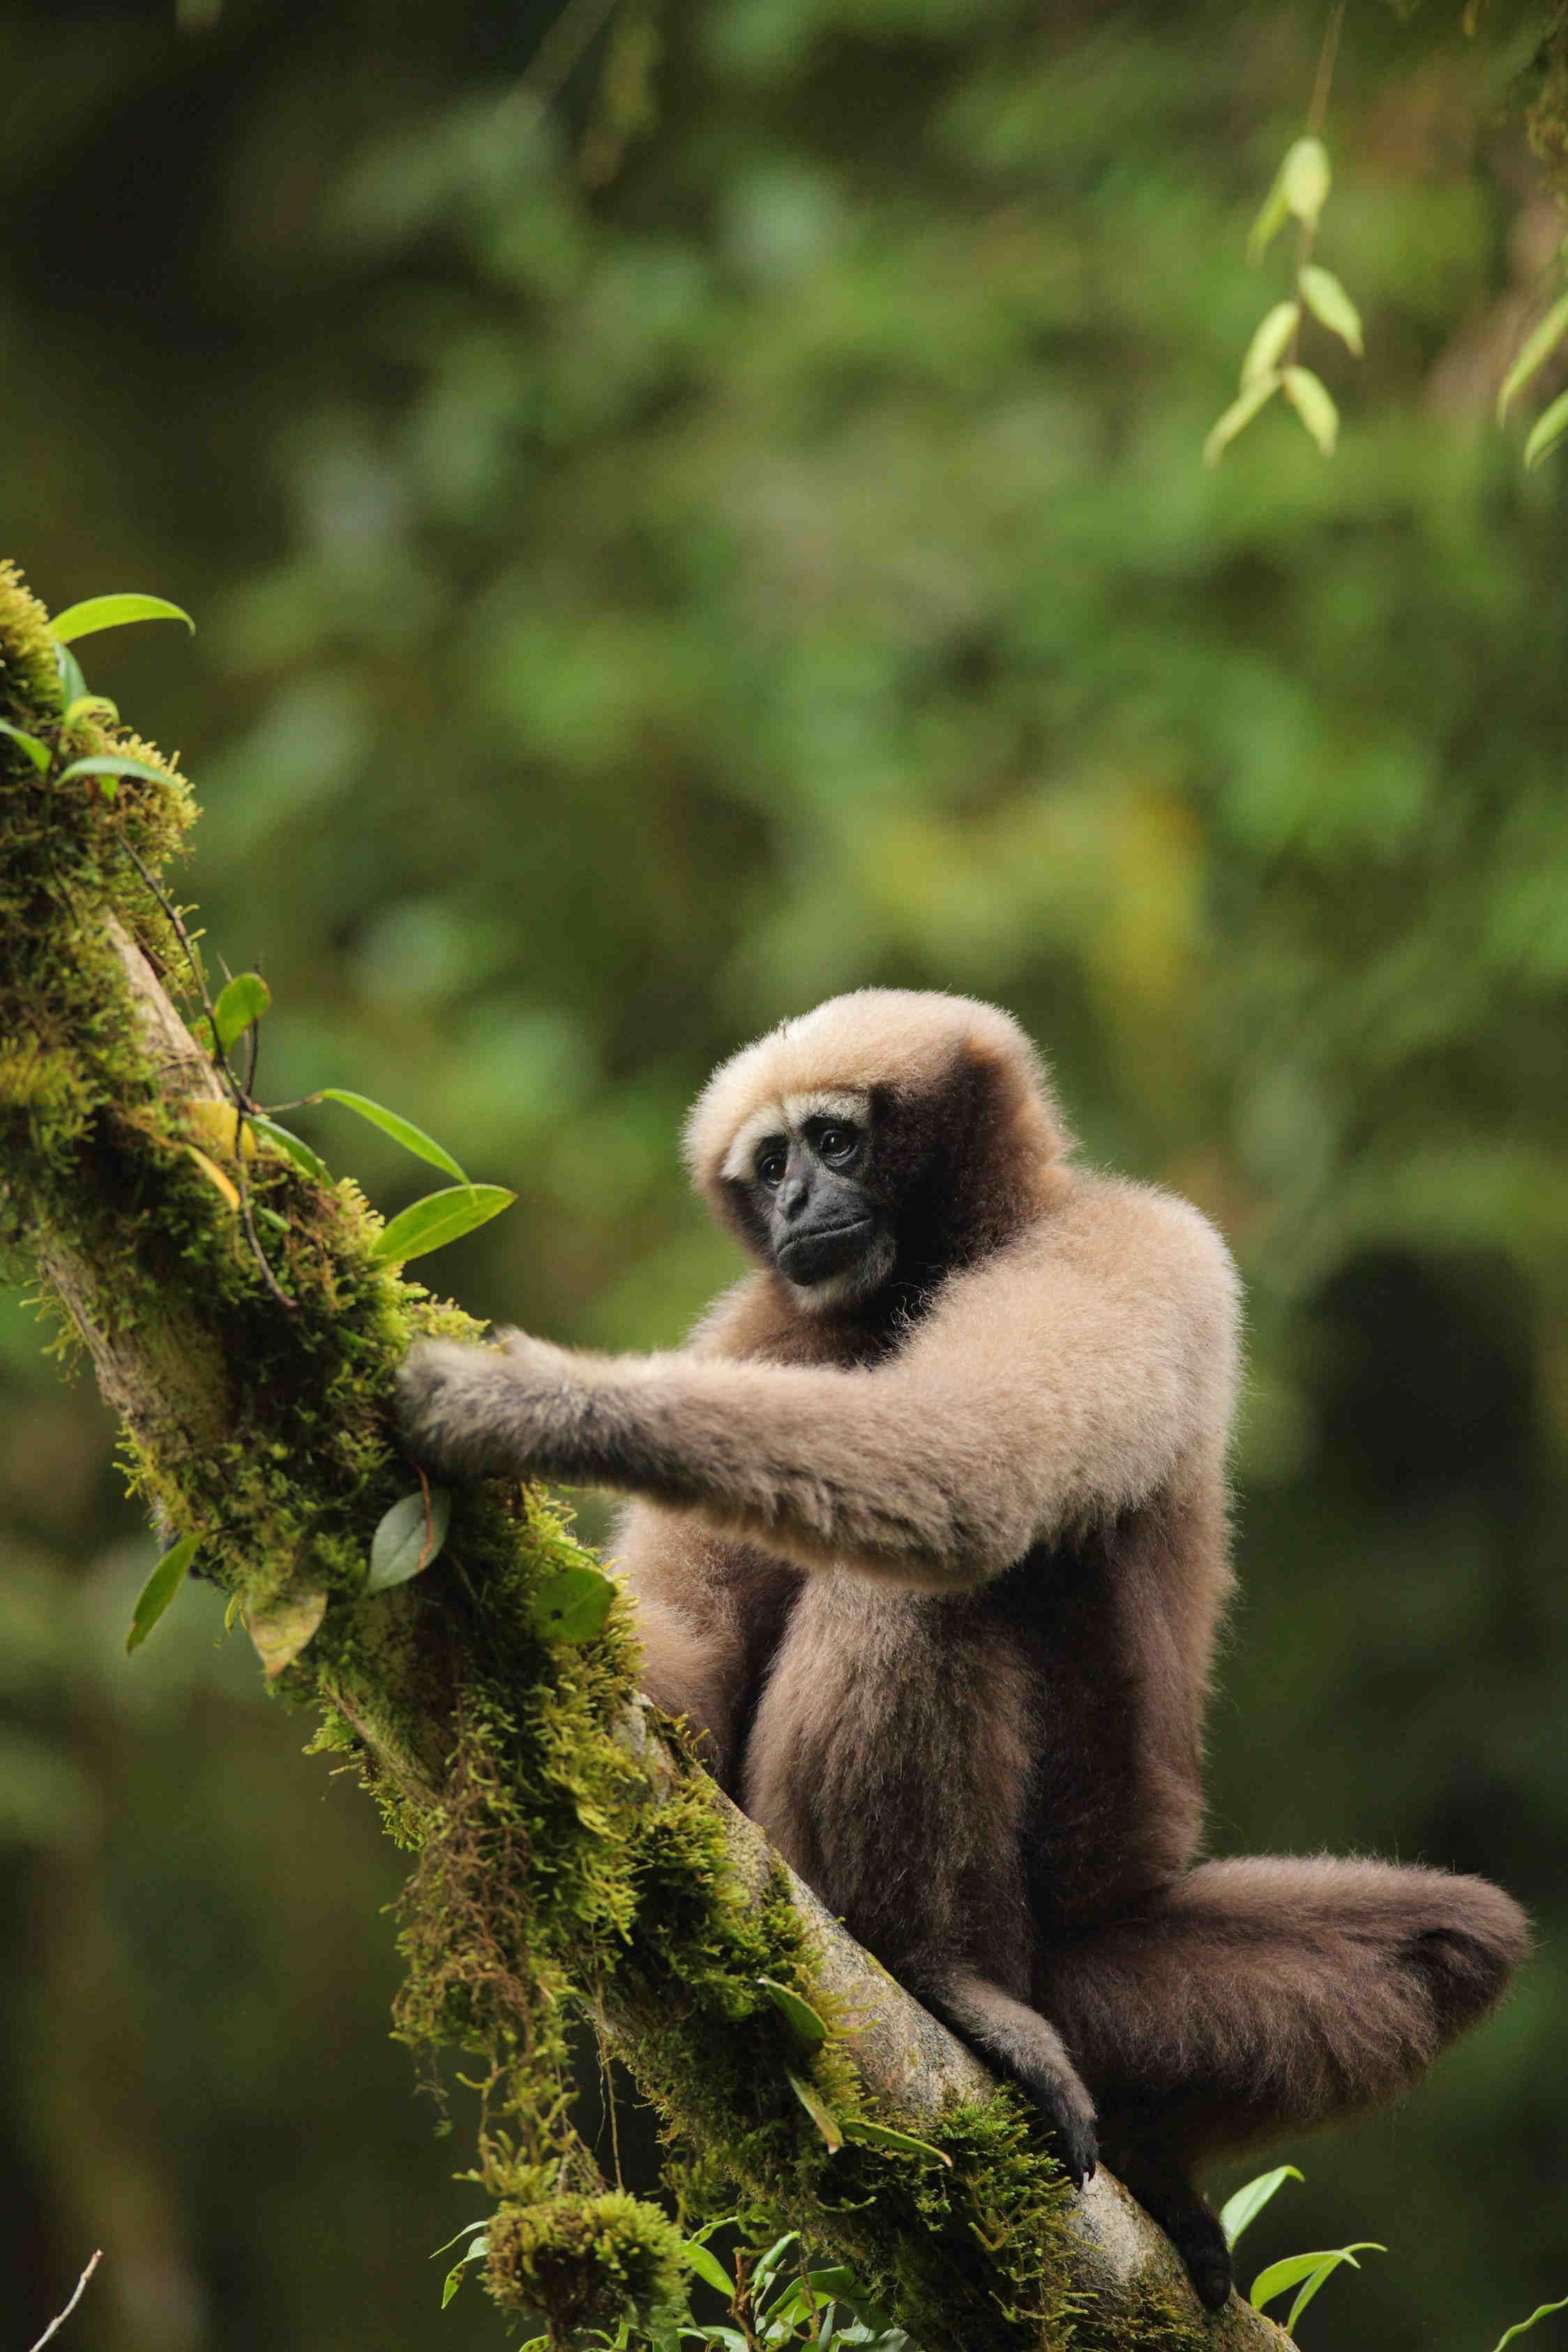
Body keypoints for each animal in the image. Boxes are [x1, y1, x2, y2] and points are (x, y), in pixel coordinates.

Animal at [395, 988, 1528, 2310]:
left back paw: (1097, 2110)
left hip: (1105, 1979)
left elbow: (975, 1467)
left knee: (1452, 1942)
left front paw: (545, 1406)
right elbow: (704, 1663)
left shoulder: (1125, 1244)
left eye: (833, 1142)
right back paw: (933, 1968)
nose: (794, 1203)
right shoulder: (764, 1328)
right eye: (768, 1164)